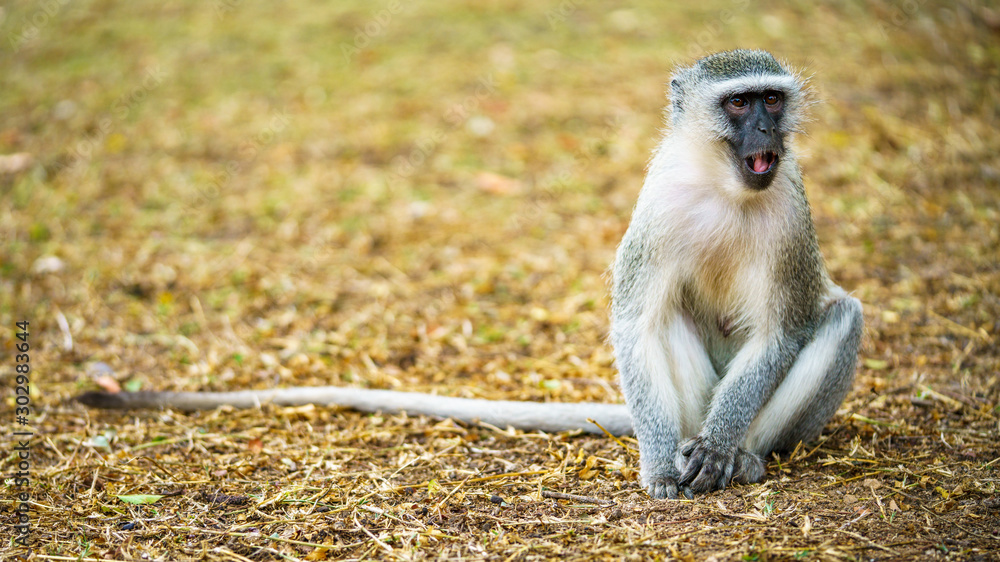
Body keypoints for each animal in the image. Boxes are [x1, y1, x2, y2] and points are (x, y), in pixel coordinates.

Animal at [78, 49, 862, 500]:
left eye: (772, 100)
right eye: (739, 103)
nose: (765, 134)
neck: (727, 185)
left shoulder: (790, 208)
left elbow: (783, 330)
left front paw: (724, 446)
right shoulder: (659, 203)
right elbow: (635, 322)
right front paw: (660, 469)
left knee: (840, 315)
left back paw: (744, 457)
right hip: (687, 399)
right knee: (662, 325)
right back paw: (679, 446)